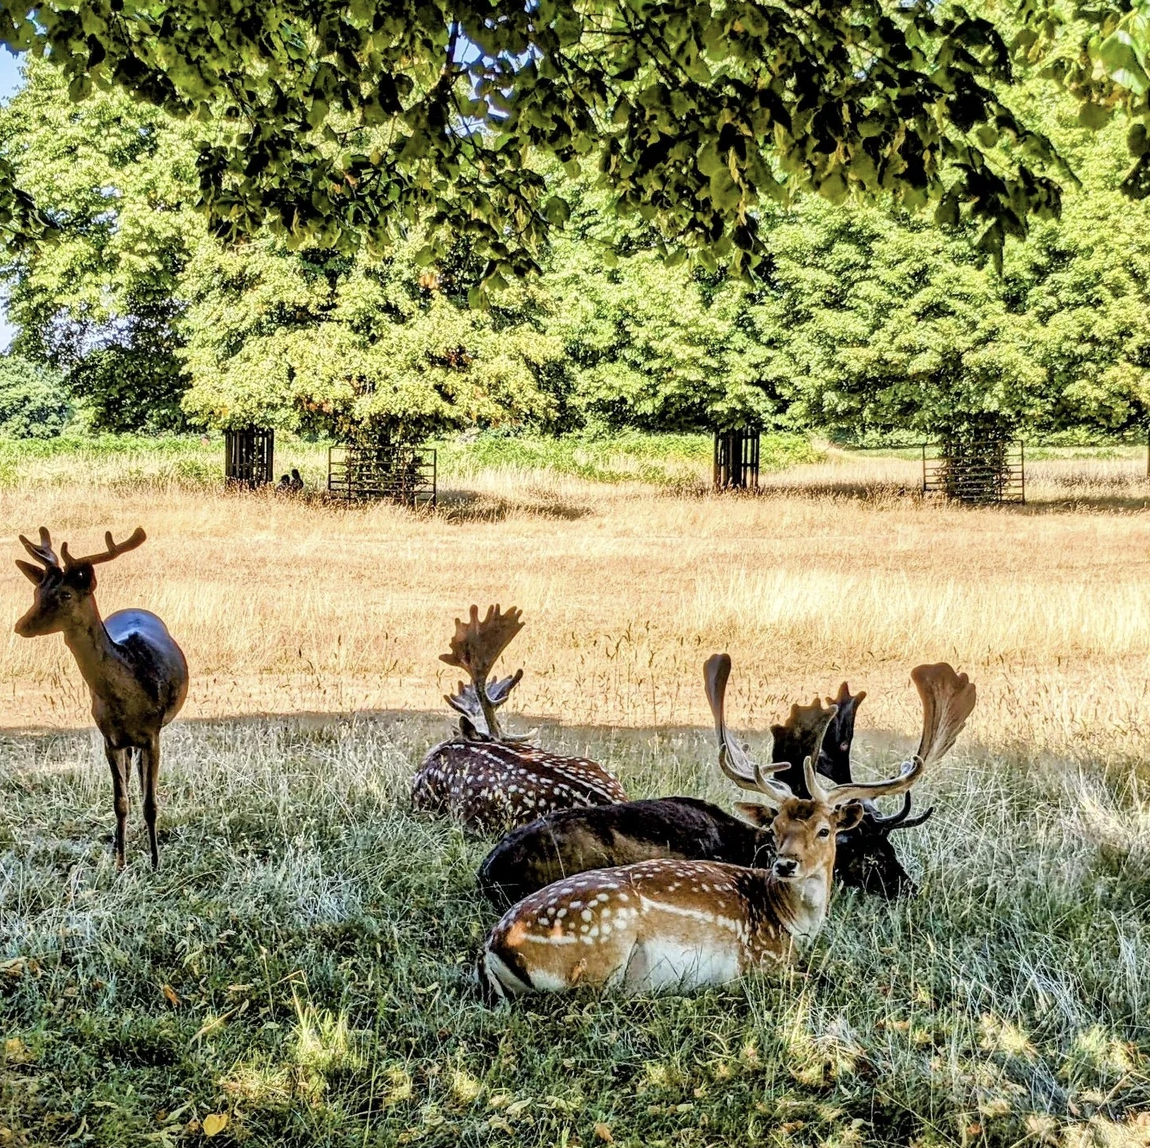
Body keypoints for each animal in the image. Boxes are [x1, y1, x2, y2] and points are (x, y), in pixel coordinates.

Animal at [14, 527, 189, 869]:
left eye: (66, 595)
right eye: (37, 592)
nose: (21, 625)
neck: (128, 698)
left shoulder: (153, 734)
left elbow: (151, 803)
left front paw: (155, 862)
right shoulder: (109, 737)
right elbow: (120, 801)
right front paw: (120, 861)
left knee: (143, 781)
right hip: (125, 743)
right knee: (131, 780)